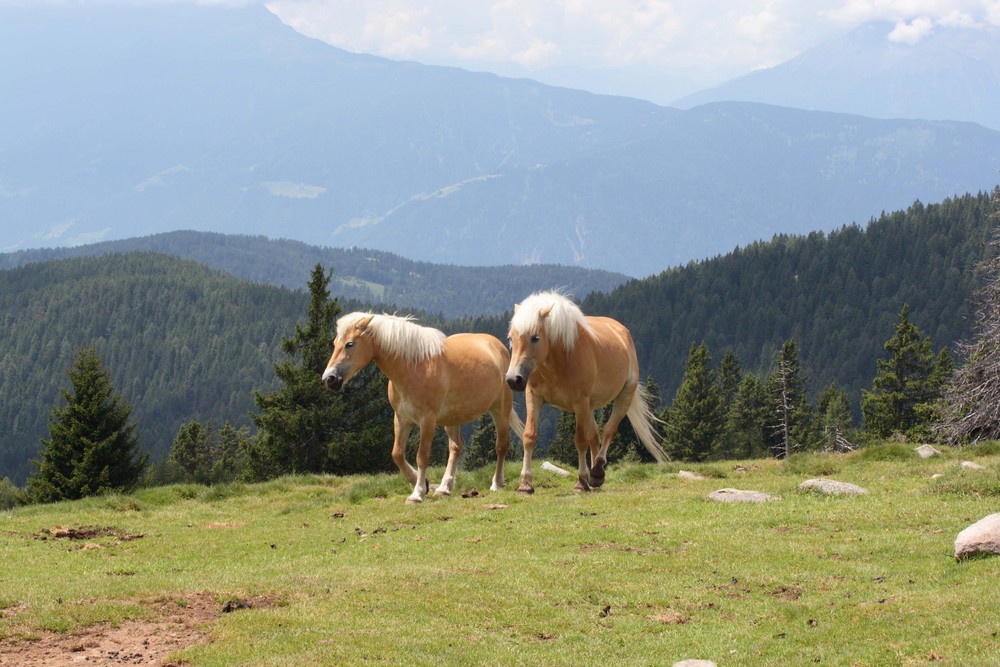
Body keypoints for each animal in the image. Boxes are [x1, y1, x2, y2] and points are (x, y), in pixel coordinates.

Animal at [322, 316, 528, 504]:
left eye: (350, 344)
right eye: (334, 343)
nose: (329, 379)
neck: (413, 368)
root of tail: (497, 346)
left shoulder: (427, 420)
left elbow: (422, 456)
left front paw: (418, 493)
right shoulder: (401, 419)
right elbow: (397, 454)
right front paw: (421, 483)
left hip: (500, 410)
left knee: (501, 446)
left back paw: (496, 483)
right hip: (452, 418)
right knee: (456, 447)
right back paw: (444, 488)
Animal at [508, 292, 664, 496]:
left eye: (535, 338)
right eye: (511, 338)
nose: (514, 379)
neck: (558, 360)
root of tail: (622, 331)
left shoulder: (580, 402)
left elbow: (580, 440)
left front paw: (581, 482)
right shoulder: (534, 397)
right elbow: (529, 436)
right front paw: (525, 484)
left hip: (624, 396)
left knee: (608, 430)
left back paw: (596, 471)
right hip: (590, 407)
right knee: (595, 435)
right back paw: (595, 477)